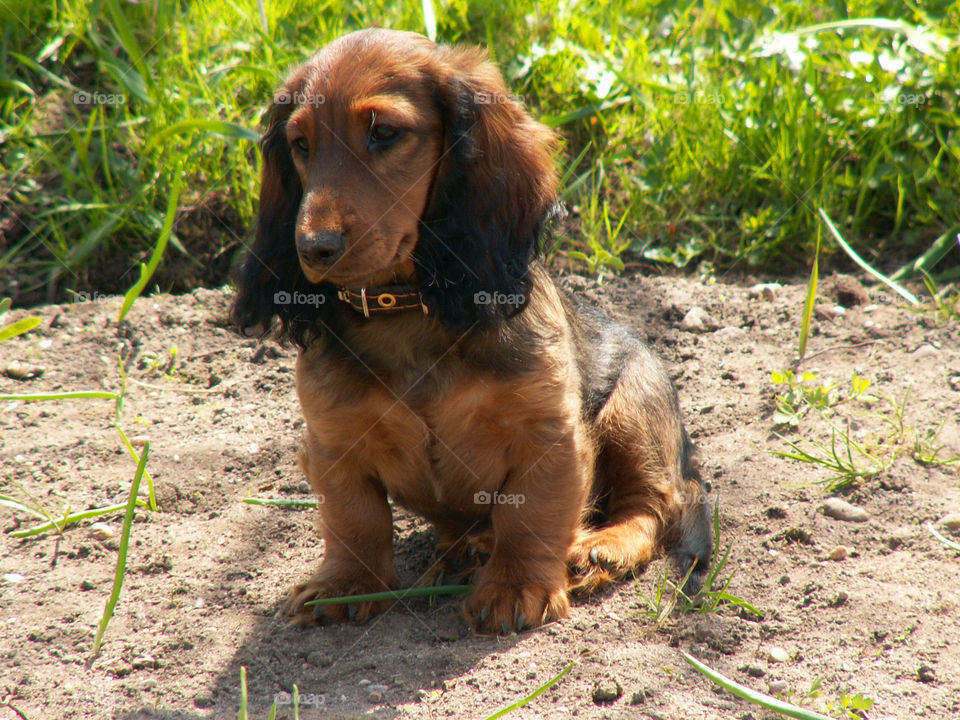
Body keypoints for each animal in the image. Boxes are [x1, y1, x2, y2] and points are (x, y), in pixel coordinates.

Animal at [232, 28, 712, 632]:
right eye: (300, 144)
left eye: (384, 133)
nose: (312, 248)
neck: (406, 310)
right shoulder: (332, 442)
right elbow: (354, 520)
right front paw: (345, 585)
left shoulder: (548, 434)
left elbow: (531, 516)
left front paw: (515, 589)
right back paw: (470, 545)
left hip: (633, 412)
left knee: (654, 505)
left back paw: (597, 547)